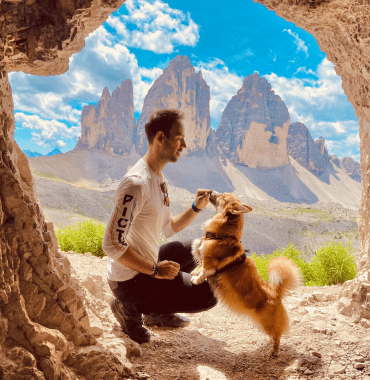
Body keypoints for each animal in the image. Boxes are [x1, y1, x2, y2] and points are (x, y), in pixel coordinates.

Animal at [192, 193, 302, 356]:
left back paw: (273, 352)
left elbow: (203, 271)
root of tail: (276, 292)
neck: (223, 235)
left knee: (277, 336)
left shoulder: (209, 263)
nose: (210, 191)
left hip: (267, 324)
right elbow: (199, 268)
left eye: (222, 196)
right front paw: (194, 273)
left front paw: (195, 280)